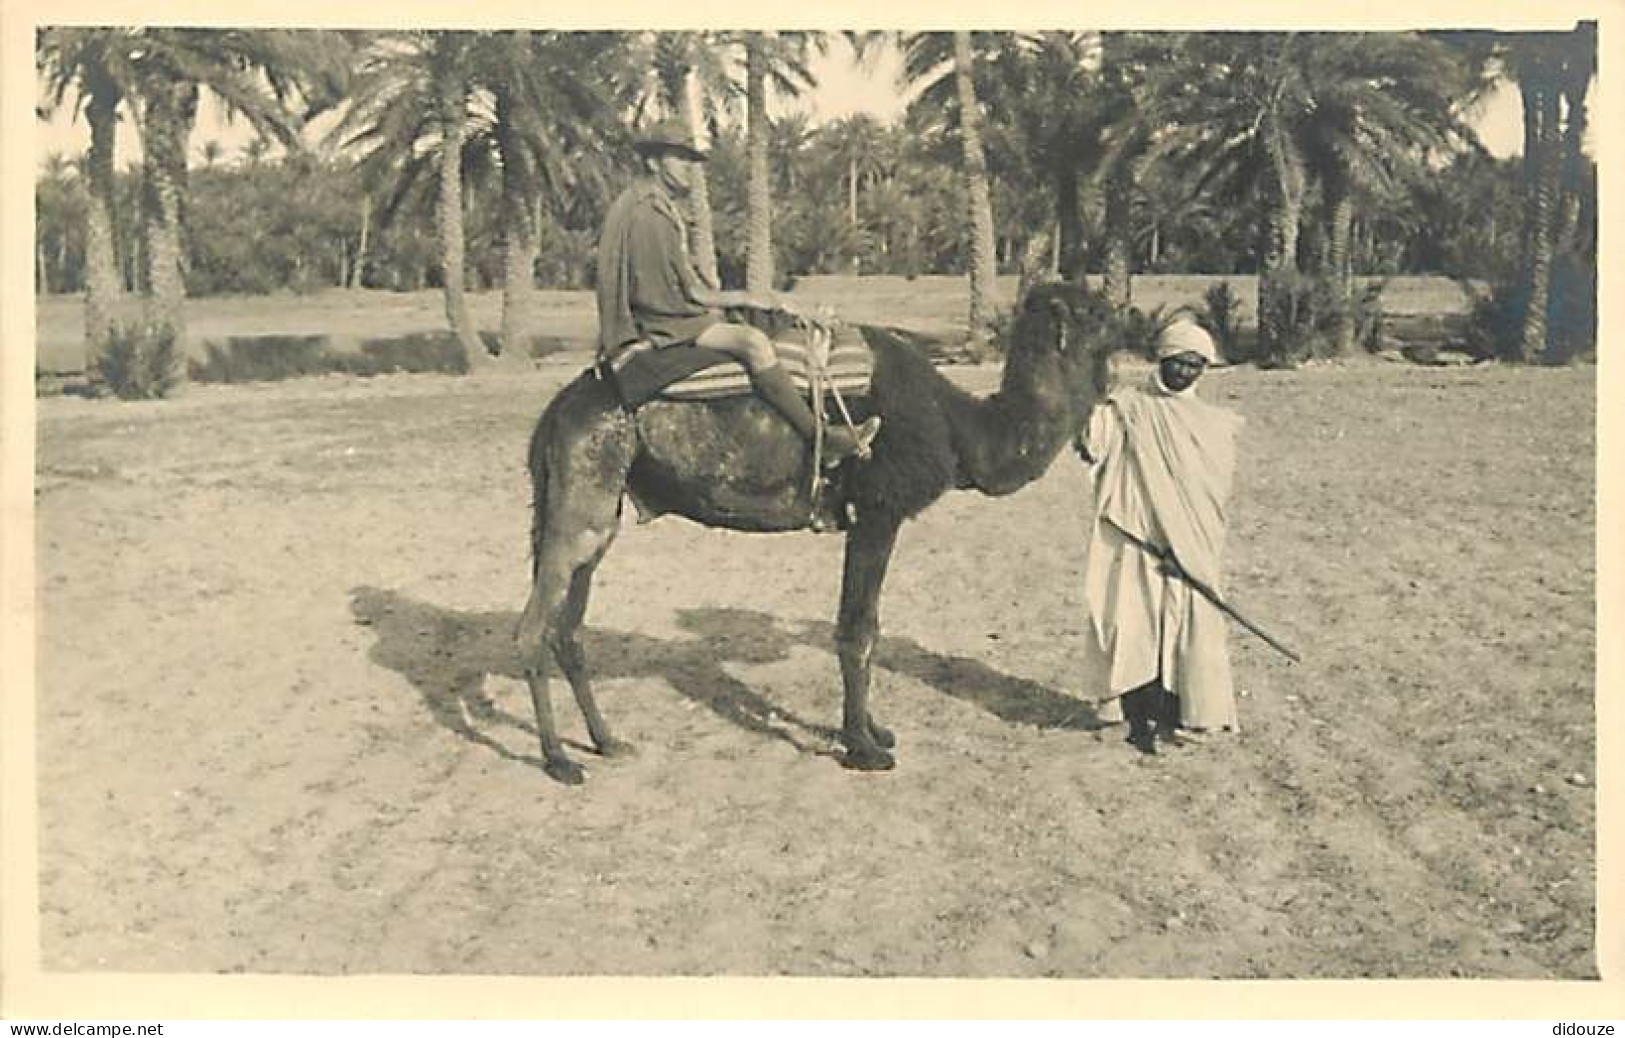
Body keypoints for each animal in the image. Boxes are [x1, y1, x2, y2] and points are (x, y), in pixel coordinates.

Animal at [516, 279, 1118, 782]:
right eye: (1096, 311)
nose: (1132, 314)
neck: (957, 428)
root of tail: (553, 413)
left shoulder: (867, 518)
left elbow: (866, 626)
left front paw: (875, 731)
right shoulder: (878, 511)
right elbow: (858, 631)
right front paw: (865, 750)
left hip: (599, 509)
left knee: (569, 629)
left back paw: (607, 741)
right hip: (583, 490)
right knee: (533, 628)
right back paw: (559, 760)